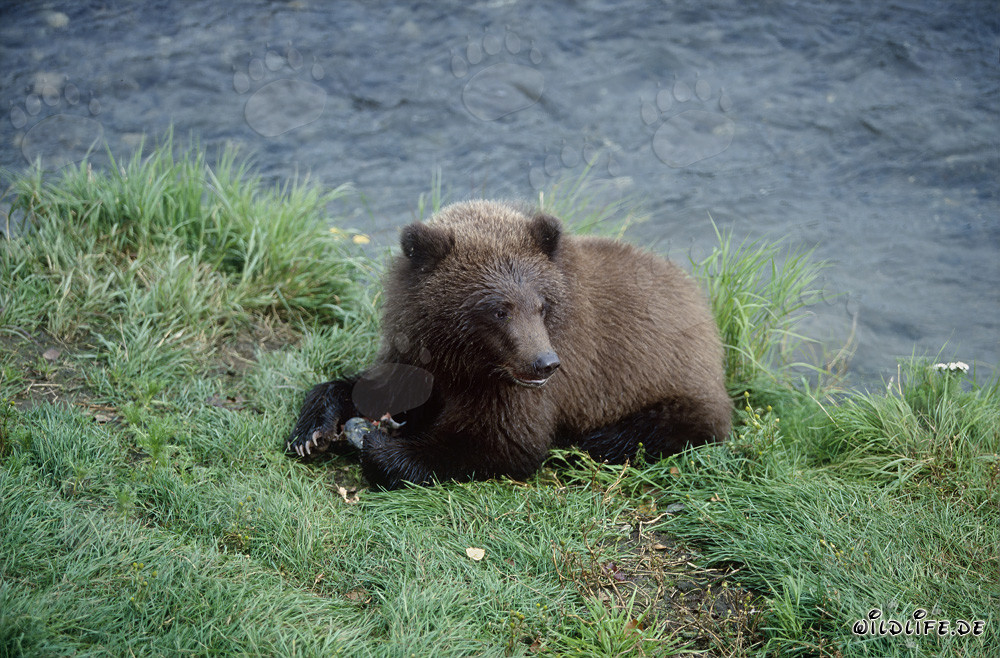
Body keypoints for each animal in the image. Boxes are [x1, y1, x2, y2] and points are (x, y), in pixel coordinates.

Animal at [286, 200, 732, 489]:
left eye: (541, 304)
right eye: (499, 309)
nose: (544, 363)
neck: (465, 358)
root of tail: (701, 303)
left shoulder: (524, 385)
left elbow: (501, 442)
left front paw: (380, 444)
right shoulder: (418, 348)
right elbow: (379, 383)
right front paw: (313, 430)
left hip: (673, 386)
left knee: (645, 431)